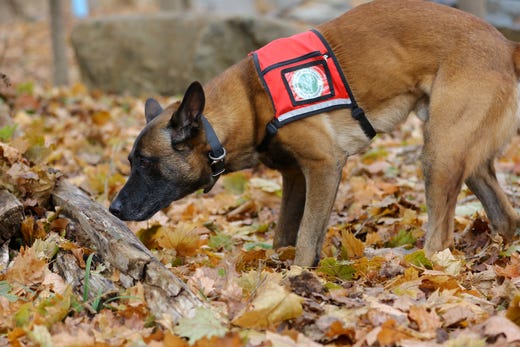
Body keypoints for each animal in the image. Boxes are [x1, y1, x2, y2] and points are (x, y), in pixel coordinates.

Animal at [109, 0, 520, 266]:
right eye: (131, 161)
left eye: (145, 163)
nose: (113, 209)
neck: (250, 99)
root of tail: (505, 44)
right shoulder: (295, 177)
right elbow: (284, 234)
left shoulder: (323, 167)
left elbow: (307, 237)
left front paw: (295, 279)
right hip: (464, 157)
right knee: (505, 218)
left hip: (440, 154)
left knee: (441, 239)